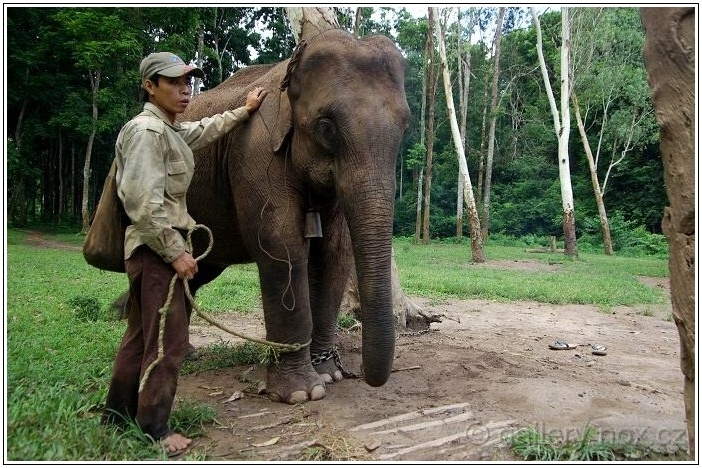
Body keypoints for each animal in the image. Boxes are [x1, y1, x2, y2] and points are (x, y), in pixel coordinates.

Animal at [182, 27, 412, 404]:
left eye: (405, 129)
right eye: (326, 128)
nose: (363, 376)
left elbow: (334, 252)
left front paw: (329, 374)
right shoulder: (255, 152)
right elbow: (282, 245)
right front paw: (302, 393)